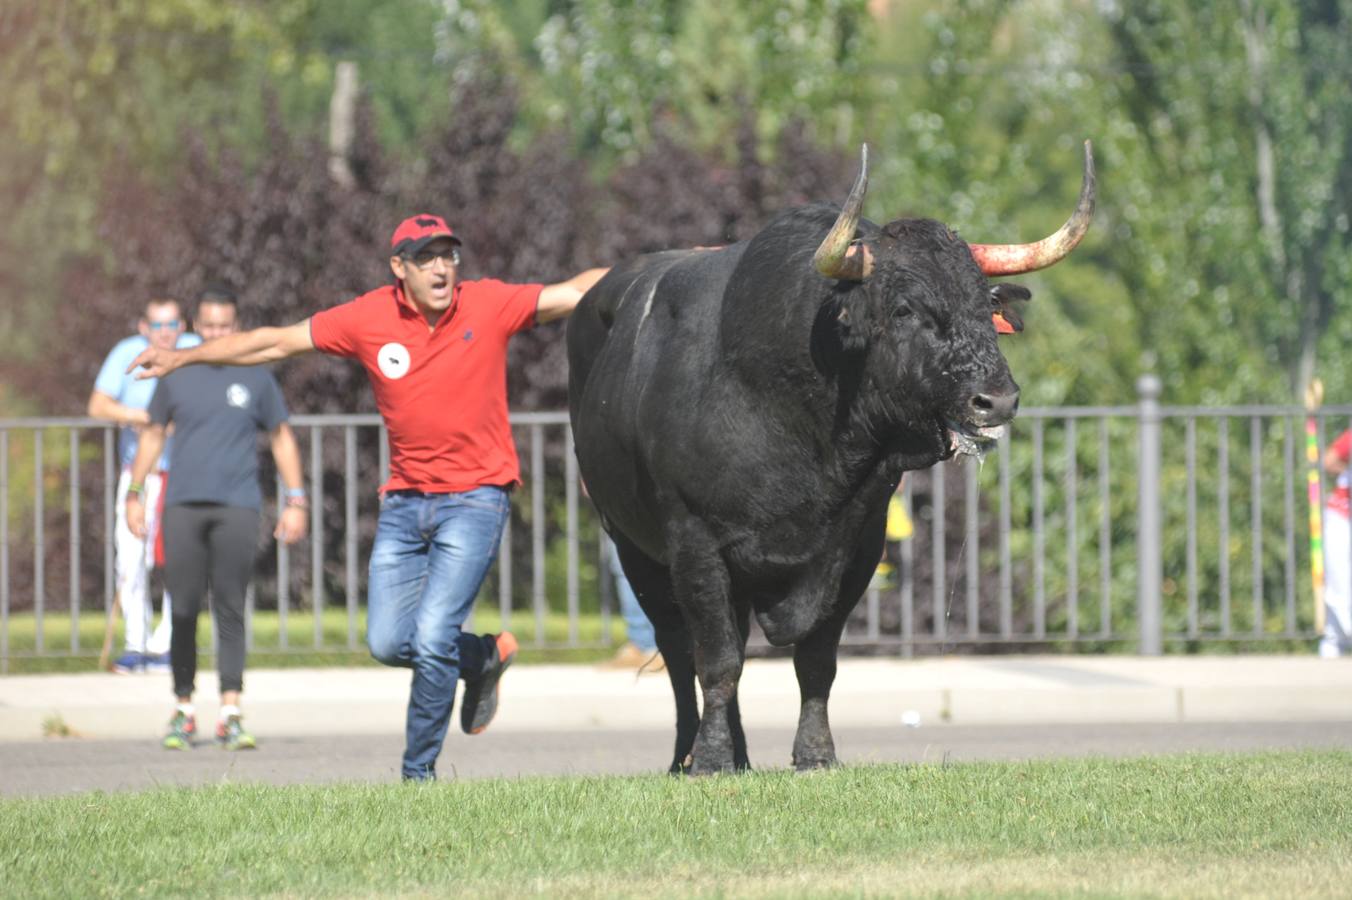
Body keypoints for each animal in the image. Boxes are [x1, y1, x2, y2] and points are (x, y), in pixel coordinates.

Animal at [565, 141, 1092, 772]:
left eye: (986, 303)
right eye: (905, 309)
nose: (997, 398)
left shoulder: (855, 546)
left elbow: (816, 659)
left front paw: (815, 754)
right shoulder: (695, 543)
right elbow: (715, 660)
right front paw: (709, 759)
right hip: (632, 546)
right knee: (678, 653)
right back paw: (688, 755)